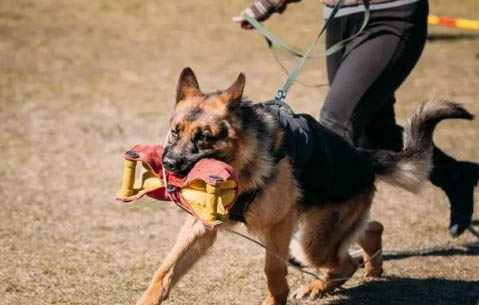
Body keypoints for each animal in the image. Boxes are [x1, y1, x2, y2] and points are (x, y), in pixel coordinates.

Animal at [134, 67, 472, 304]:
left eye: (204, 137)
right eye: (175, 131)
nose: (169, 164)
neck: (243, 161)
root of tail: (363, 156)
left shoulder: (279, 226)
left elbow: (273, 271)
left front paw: (275, 299)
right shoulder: (200, 225)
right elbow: (166, 270)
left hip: (308, 243)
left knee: (345, 262)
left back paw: (318, 286)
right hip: (316, 232)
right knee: (369, 230)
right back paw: (368, 267)